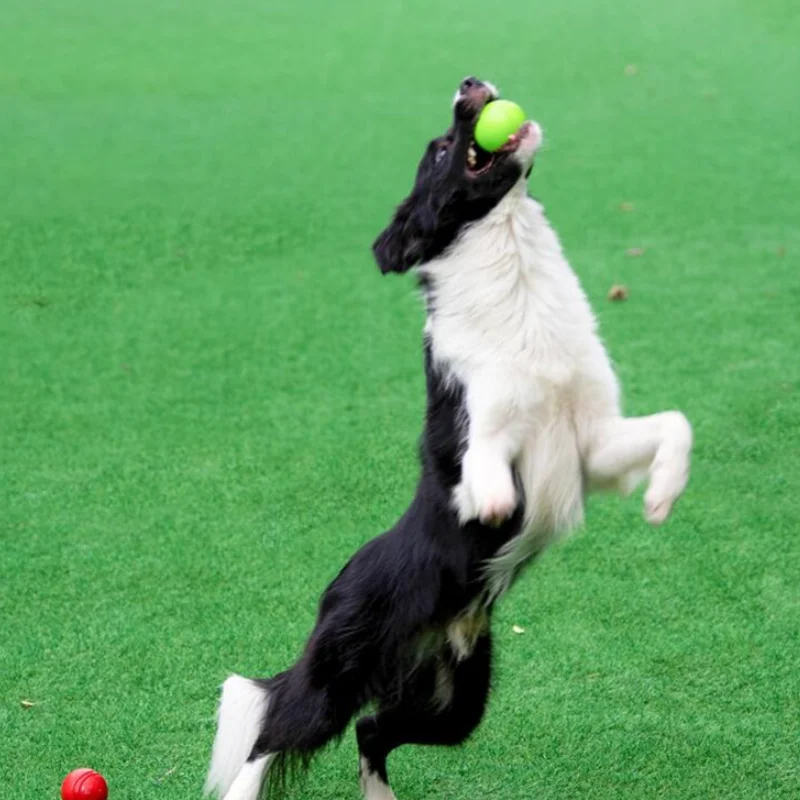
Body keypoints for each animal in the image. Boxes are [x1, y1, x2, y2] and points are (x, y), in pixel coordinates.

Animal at [206, 76, 692, 800]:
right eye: (439, 150)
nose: (469, 84)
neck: (513, 272)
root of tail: (334, 586)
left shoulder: (591, 442)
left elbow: (676, 424)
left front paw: (662, 498)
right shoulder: (482, 423)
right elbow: (481, 458)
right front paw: (491, 502)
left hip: (455, 699)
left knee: (372, 729)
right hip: (340, 670)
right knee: (271, 735)